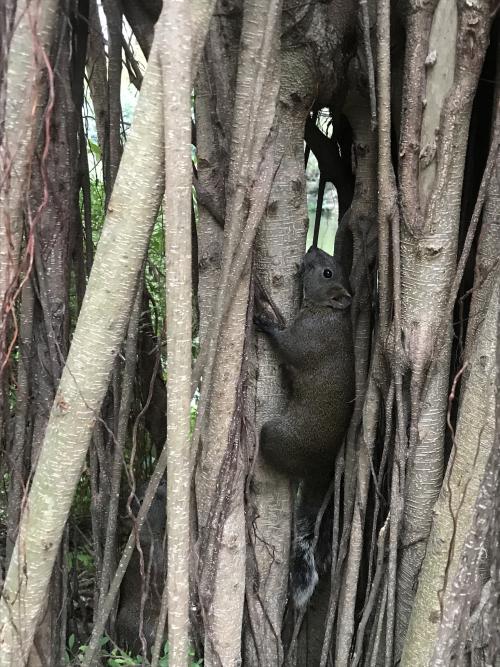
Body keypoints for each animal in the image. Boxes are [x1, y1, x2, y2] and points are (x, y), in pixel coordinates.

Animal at [254, 247, 356, 612]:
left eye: (327, 272)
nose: (311, 249)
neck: (326, 311)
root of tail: (321, 468)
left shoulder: (310, 339)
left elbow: (288, 346)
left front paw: (265, 321)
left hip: (277, 437)